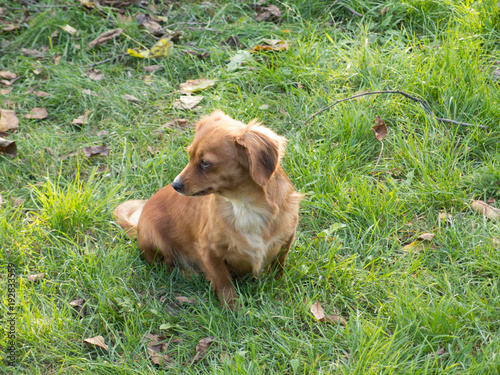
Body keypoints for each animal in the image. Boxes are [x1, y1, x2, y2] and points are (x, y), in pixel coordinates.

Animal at [114, 110, 300, 310]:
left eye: (205, 163)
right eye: (189, 156)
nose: (175, 185)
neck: (243, 204)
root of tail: (138, 226)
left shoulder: (287, 238)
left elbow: (279, 263)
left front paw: (276, 283)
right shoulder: (209, 251)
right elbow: (223, 280)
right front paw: (232, 308)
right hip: (154, 241)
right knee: (164, 265)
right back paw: (188, 273)